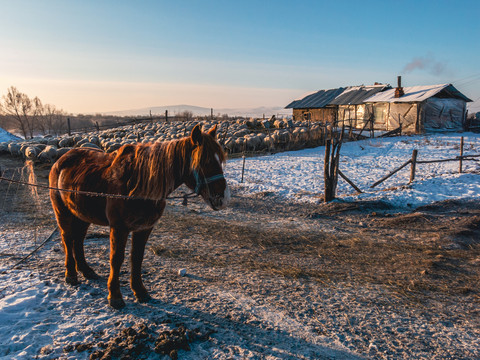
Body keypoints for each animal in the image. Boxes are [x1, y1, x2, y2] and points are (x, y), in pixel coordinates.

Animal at [49, 125, 230, 308]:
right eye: (205, 162)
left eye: (220, 160)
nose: (223, 198)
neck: (136, 184)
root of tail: (60, 160)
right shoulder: (119, 228)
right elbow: (116, 259)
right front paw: (115, 296)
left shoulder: (144, 228)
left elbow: (137, 258)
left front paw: (140, 291)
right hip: (63, 212)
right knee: (67, 239)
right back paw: (71, 274)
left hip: (82, 214)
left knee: (78, 239)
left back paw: (86, 270)